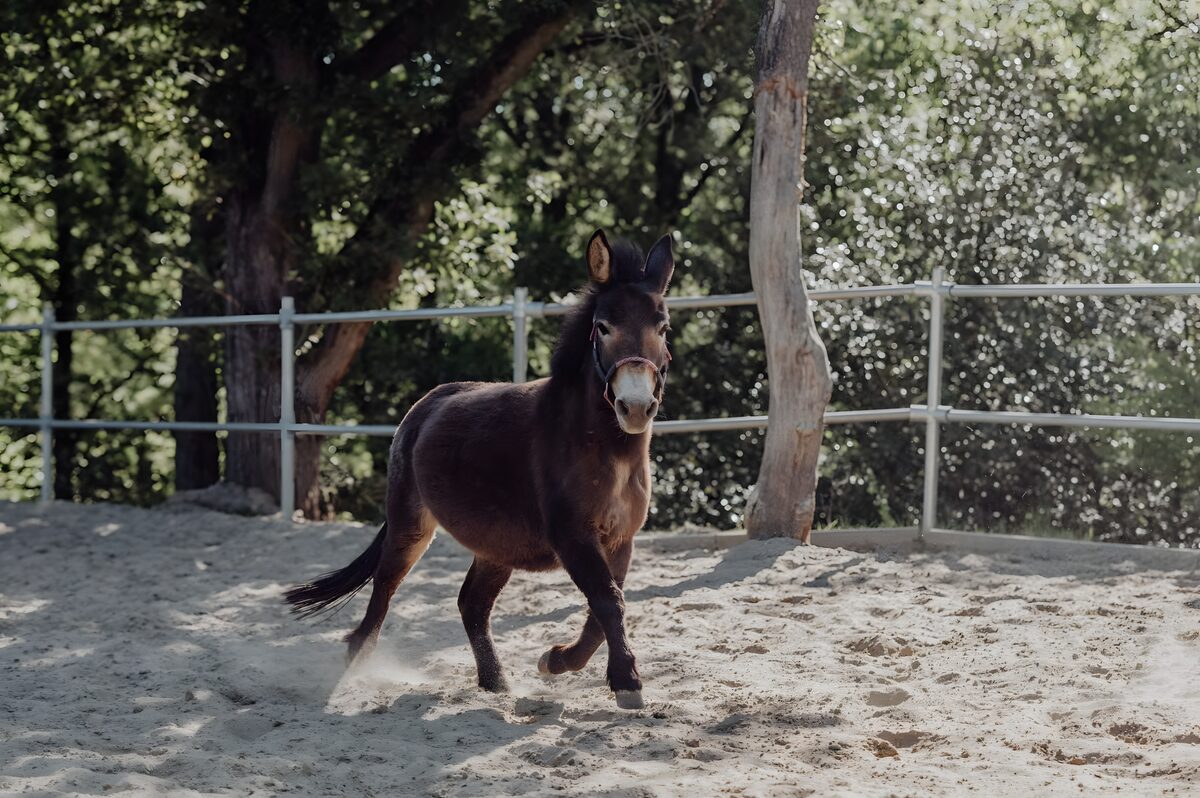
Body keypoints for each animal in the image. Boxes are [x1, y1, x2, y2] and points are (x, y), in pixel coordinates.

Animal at [285, 230, 675, 710]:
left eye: (663, 327)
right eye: (603, 327)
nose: (635, 407)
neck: (600, 447)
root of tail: (425, 405)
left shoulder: (620, 540)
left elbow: (603, 610)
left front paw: (558, 660)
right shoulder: (573, 536)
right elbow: (607, 602)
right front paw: (625, 681)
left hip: (496, 547)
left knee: (471, 604)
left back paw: (495, 681)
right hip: (411, 527)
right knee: (384, 588)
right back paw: (353, 666)